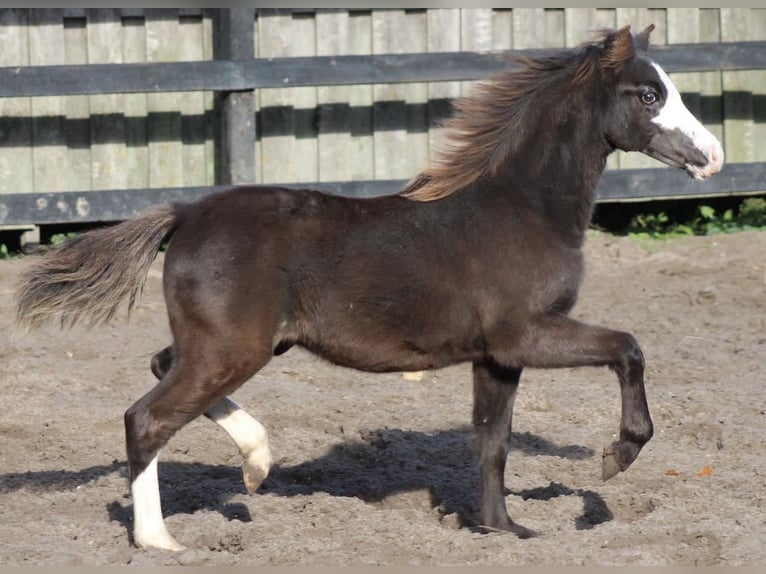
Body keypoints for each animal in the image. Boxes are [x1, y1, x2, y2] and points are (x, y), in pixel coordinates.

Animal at [16, 24, 728, 552]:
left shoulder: (497, 355)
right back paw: (161, 538)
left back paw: (256, 462)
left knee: (162, 368)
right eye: (648, 96)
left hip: (230, 344)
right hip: (231, 348)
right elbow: (628, 347)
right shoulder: (526, 334)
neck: (521, 208)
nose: (713, 156)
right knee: (148, 416)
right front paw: (616, 458)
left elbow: (492, 441)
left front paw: (502, 528)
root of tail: (187, 212)